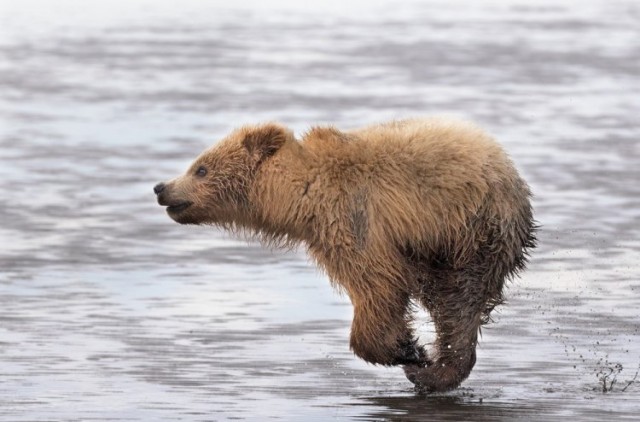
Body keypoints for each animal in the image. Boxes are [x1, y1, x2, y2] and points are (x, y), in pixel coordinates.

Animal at [154, 116, 536, 392]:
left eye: (200, 168)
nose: (161, 187)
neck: (299, 195)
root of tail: (511, 173)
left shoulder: (352, 219)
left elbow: (377, 284)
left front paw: (406, 350)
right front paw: (408, 347)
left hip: (470, 232)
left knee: (458, 299)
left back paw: (435, 372)